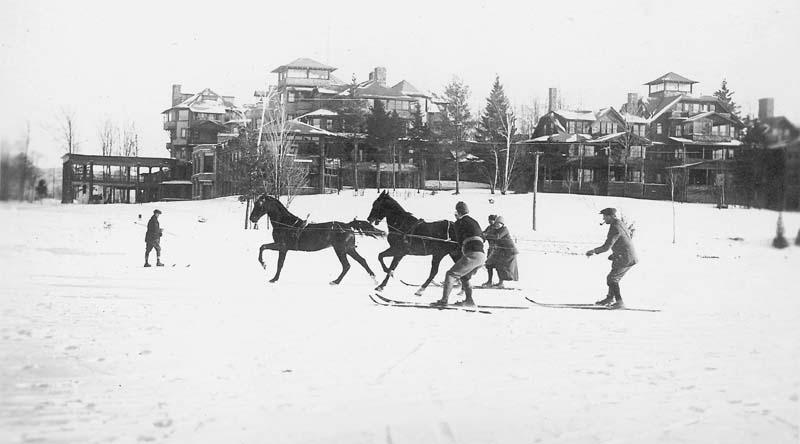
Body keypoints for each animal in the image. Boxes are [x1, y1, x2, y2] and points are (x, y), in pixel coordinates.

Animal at [252, 194, 386, 284]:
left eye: (260, 204)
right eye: (254, 203)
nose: (252, 218)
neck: (286, 224)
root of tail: (348, 226)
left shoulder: (282, 246)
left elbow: (275, 259)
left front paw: (270, 274)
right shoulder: (281, 246)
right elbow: (266, 251)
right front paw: (267, 269)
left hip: (341, 249)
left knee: (347, 265)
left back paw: (336, 281)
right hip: (349, 249)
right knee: (361, 261)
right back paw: (374, 279)